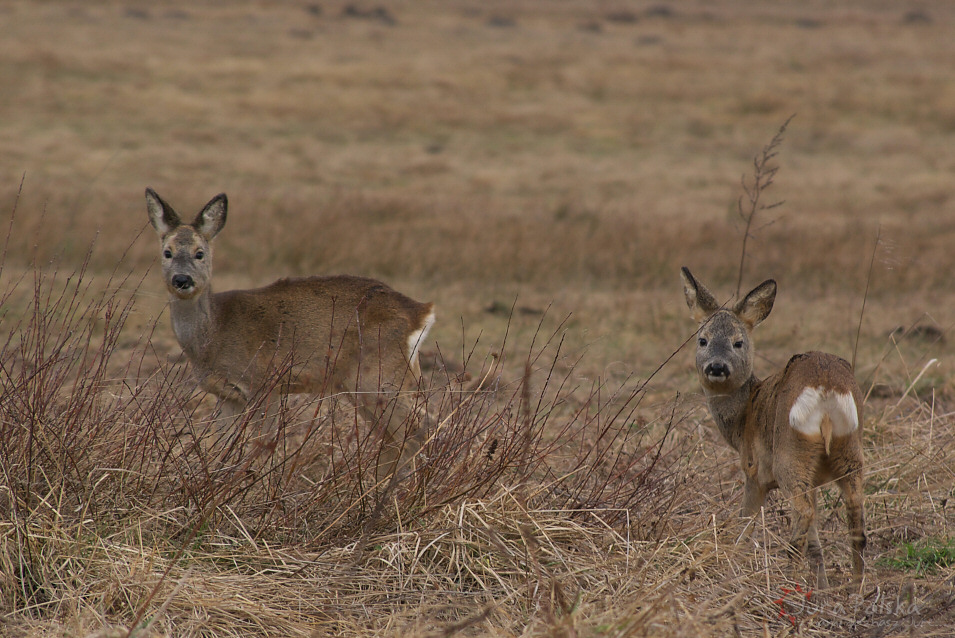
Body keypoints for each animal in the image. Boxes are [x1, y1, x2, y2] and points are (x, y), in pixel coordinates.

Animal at [146, 189, 436, 480]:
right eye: (167, 252)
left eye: (200, 253)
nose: (182, 280)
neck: (214, 334)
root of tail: (421, 312)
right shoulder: (226, 394)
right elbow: (222, 446)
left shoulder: (265, 383)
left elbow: (262, 445)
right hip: (364, 384)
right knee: (393, 439)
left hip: (378, 376)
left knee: (418, 431)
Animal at [680, 266, 868, 592]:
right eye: (702, 340)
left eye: (738, 342)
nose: (716, 367)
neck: (744, 417)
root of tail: (827, 389)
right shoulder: (814, 479)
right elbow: (816, 540)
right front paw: (821, 586)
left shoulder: (754, 471)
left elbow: (744, 526)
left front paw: (730, 571)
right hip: (848, 449)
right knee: (854, 511)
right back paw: (855, 587)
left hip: (790, 452)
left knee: (804, 512)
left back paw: (789, 580)